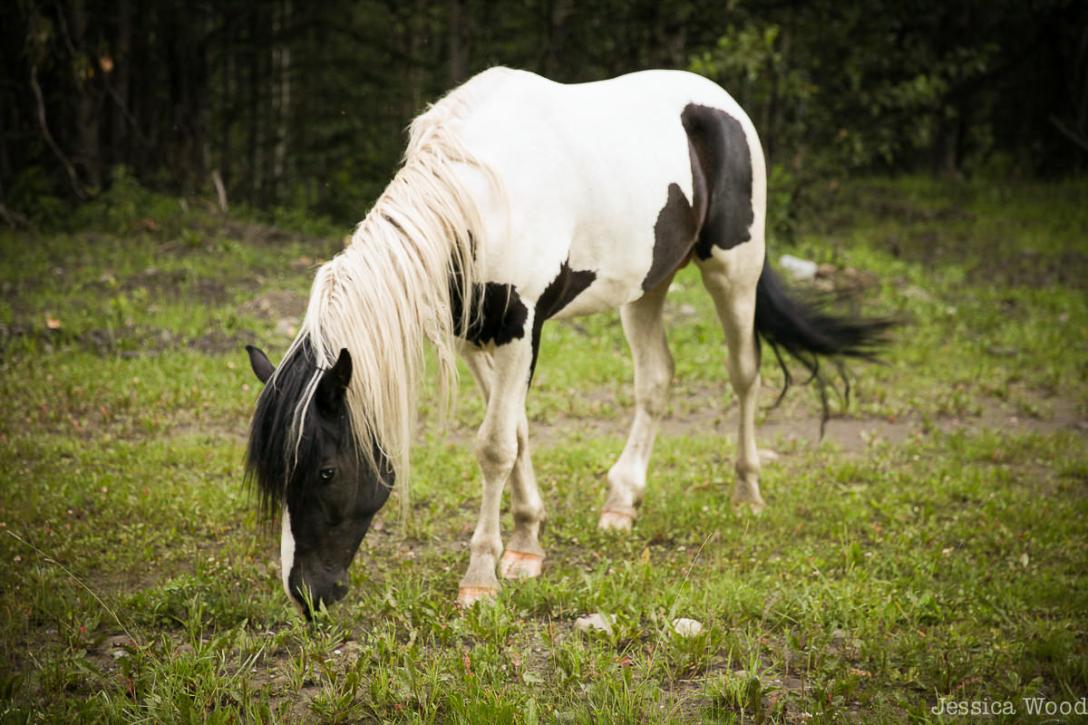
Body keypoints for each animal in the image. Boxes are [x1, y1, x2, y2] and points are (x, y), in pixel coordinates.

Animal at [244, 67, 890, 615]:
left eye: (326, 472)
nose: (305, 595)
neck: (480, 200)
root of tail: (722, 103)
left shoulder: (520, 330)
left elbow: (495, 447)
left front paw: (480, 578)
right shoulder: (477, 340)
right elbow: (518, 434)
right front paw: (527, 543)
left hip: (734, 272)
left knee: (745, 374)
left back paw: (747, 492)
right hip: (645, 287)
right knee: (656, 381)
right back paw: (621, 502)